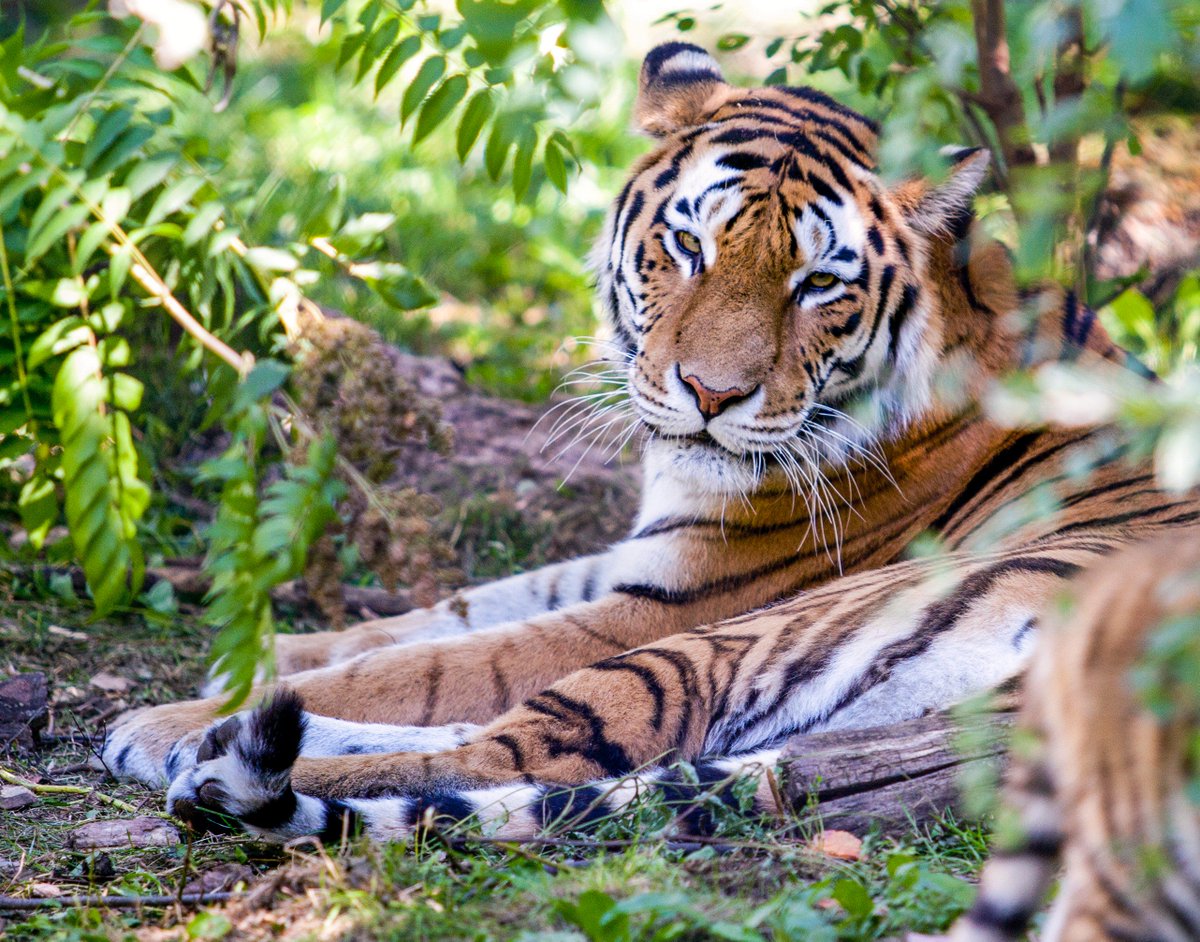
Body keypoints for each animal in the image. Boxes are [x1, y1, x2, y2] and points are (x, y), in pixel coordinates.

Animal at [100, 41, 1199, 845]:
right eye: (688, 245)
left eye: (819, 284)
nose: (711, 394)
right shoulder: (642, 558)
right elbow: (446, 613)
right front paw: (256, 655)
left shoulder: (679, 600)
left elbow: (445, 659)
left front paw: (186, 704)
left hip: (783, 627)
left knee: (523, 750)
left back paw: (185, 755)